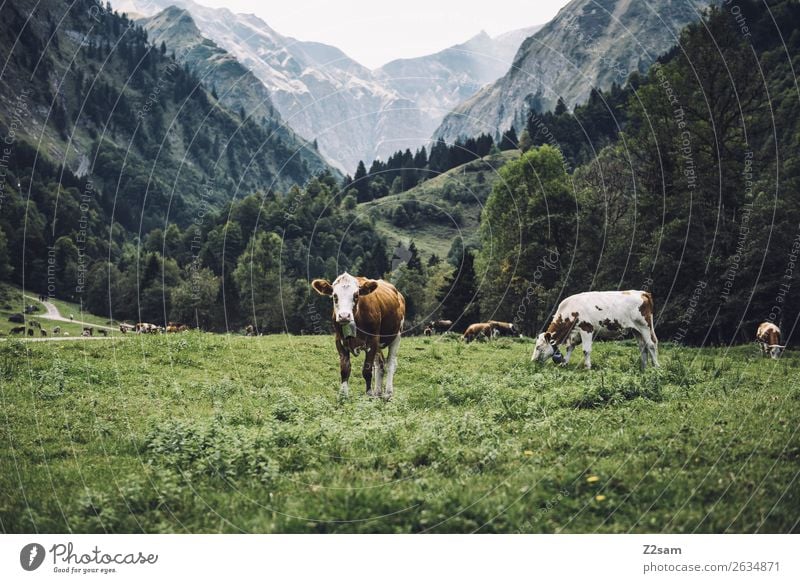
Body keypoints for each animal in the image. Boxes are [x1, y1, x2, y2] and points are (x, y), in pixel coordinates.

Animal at [310, 272, 404, 400]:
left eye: (356, 295)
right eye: (334, 296)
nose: (344, 316)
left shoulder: (372, 340)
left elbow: (367, 371)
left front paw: (369, 395)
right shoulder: (340, 341)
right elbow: (345, 369)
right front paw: (343, 395)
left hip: (396, 335)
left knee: (390, 363)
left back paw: (388, 393)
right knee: (379, 363)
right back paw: (378, 392)